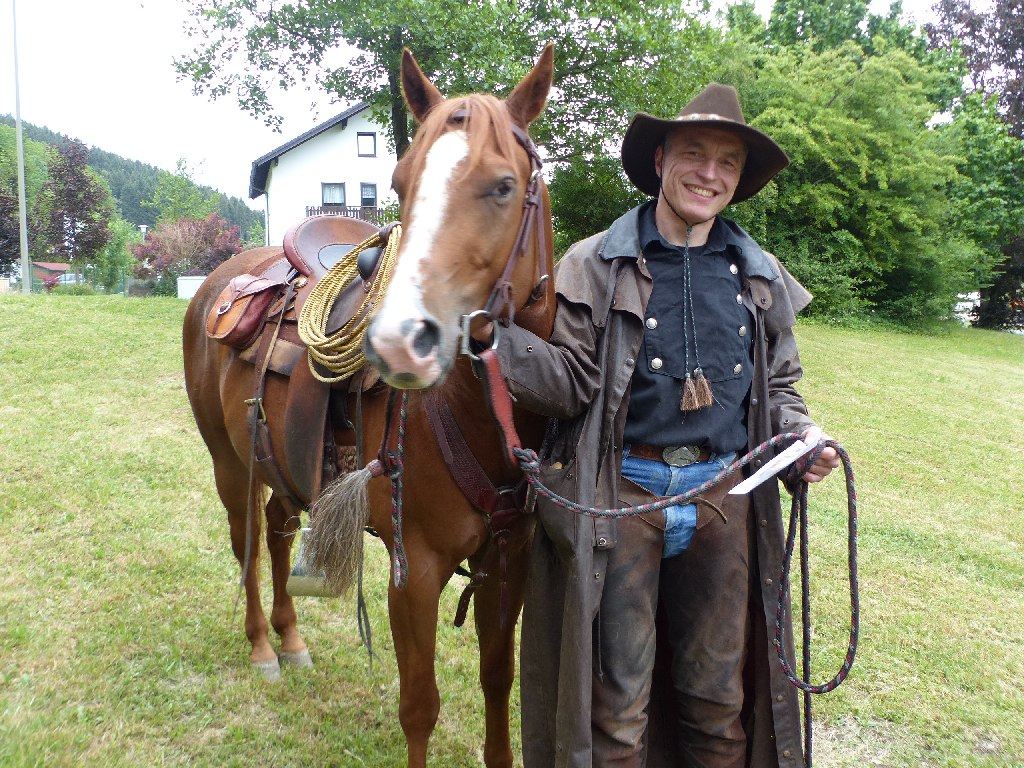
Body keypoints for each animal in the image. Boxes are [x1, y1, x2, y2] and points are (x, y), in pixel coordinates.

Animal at [182, 44, 556, 768]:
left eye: (502, 185)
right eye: (401, 182)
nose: (397, 342)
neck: (477, 412)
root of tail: (220, 279)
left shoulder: (510, 558)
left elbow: (499, 679)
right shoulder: (415, 572)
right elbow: (420, 706)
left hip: (283, 464)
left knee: (278, 531)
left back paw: (291, 639)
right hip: (228, 465)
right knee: (247, 543)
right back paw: (263, 647)